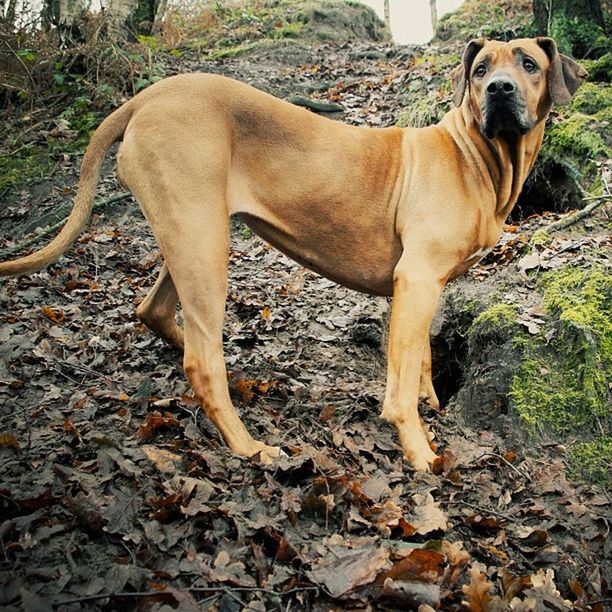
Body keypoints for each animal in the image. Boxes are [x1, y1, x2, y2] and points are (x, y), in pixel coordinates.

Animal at [0, 37, 584, 468]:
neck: (475, 155)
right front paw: (419, 451)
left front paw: (430, 403)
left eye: (528, 64)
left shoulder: (427, 286)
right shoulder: (416, 278)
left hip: (192, 233)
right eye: (481, 69)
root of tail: (145, 98)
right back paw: (247, 444)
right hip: (203, 243)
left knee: (155, 312)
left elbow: (420, 357)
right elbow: (399, 386)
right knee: (201, 359)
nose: (500, 90)